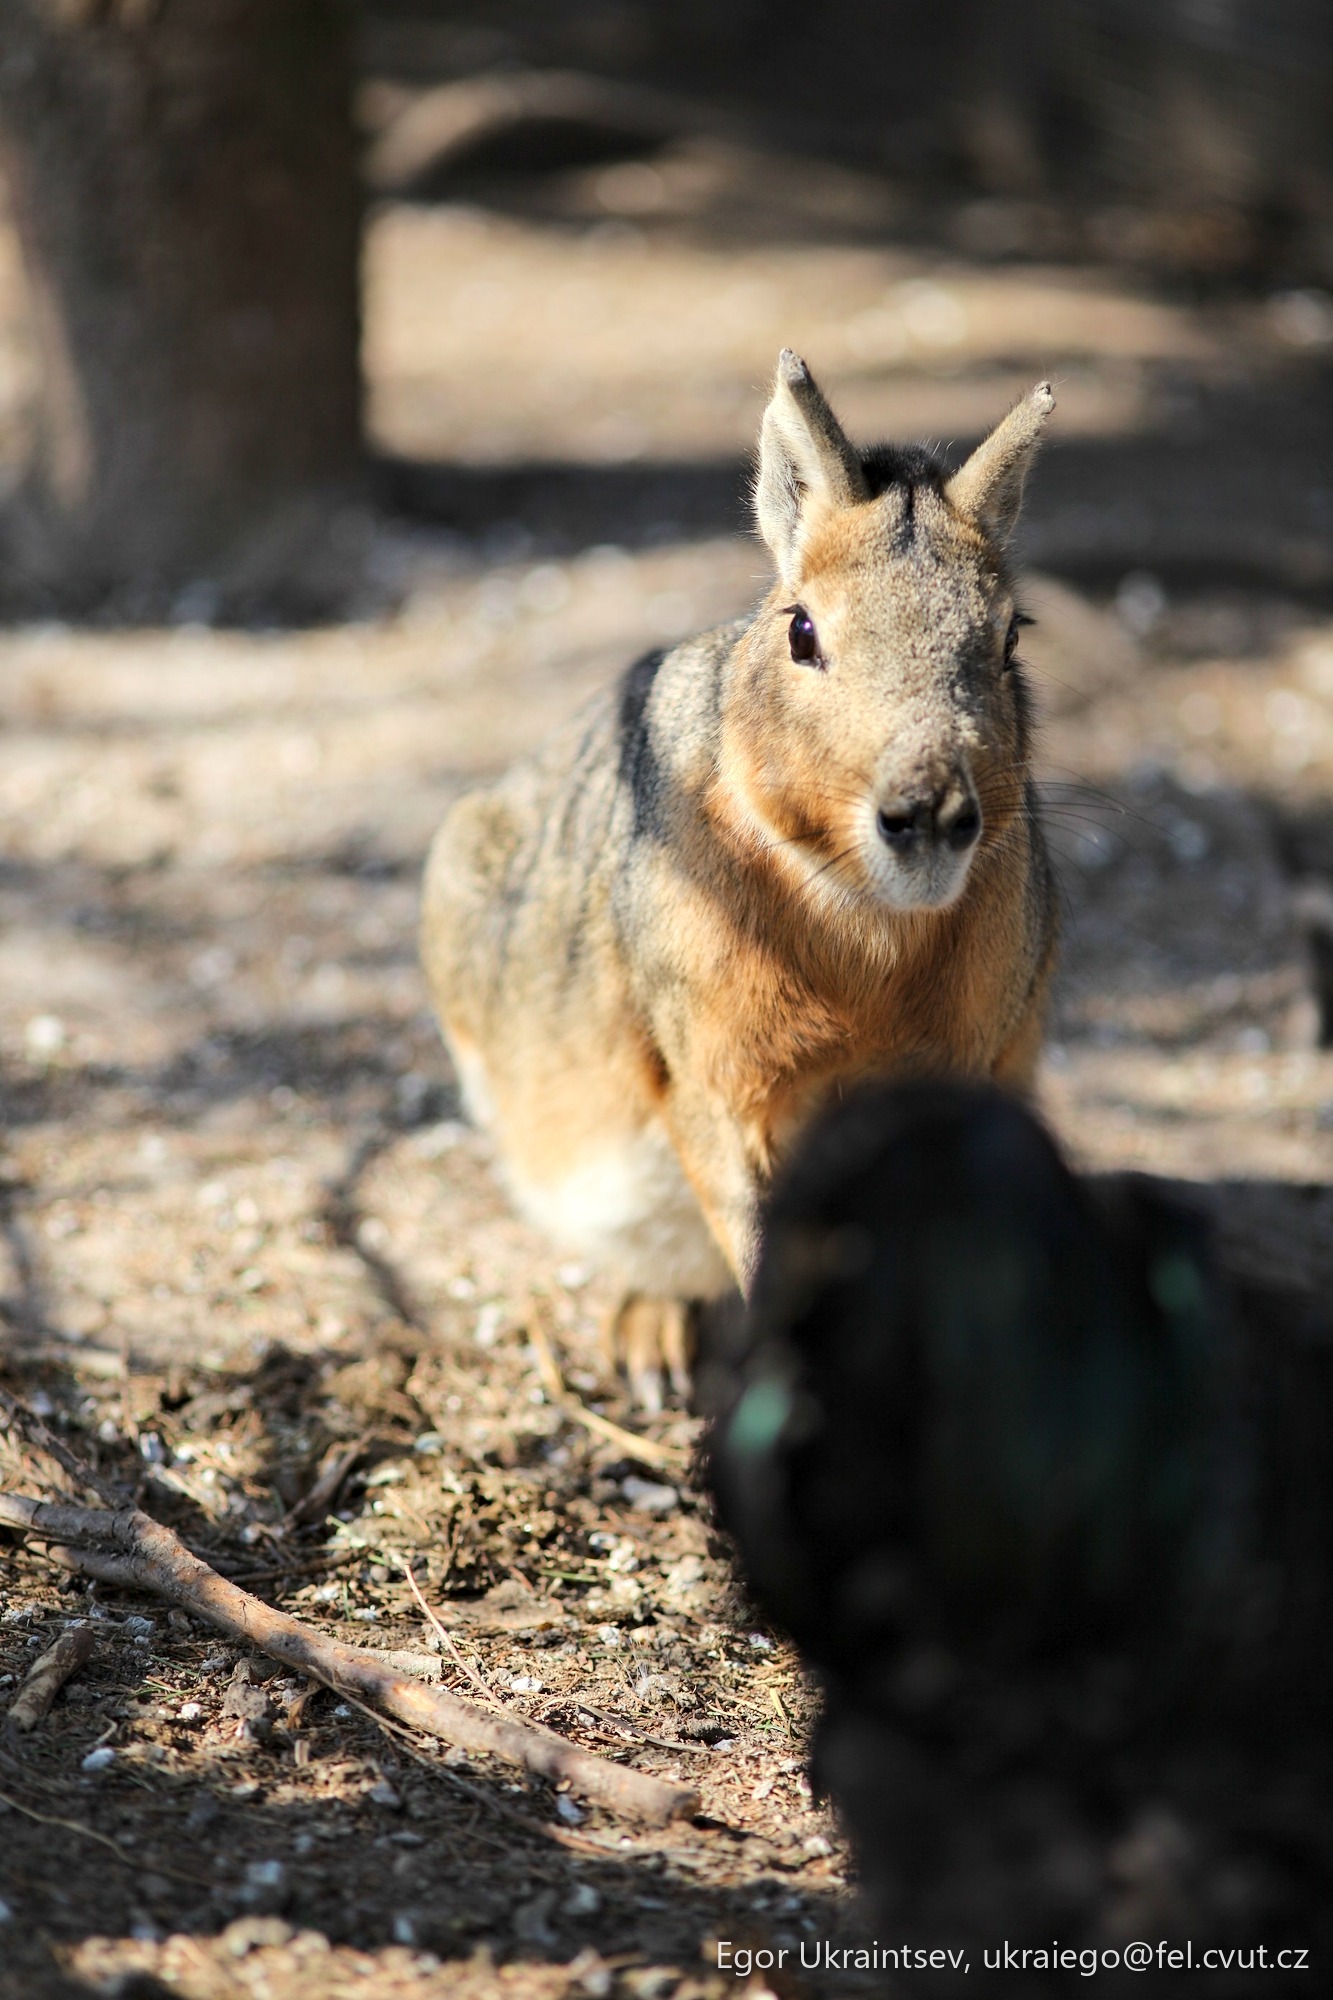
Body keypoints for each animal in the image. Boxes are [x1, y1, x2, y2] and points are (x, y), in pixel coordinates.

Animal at [421, 351, 1058, 1404]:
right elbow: (758, 1244)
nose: (928, 816)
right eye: (801, 632)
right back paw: (652, 1352)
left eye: (1010, 638)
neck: (860, 919)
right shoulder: (712, 1088)